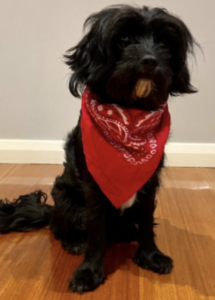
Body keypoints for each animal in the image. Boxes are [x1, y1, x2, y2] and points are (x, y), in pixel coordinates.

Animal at [0, 4, 198, 294]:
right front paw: (89, 271)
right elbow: (96, 232)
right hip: (65, 199)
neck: (130, 118)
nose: (150, 60)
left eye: (164, 43)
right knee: (62, 229)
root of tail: (50, 212)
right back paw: (74, 242)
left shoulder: (150, 181)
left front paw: (151, 256)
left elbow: (147, 221)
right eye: (124, 39)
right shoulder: (94, 185)